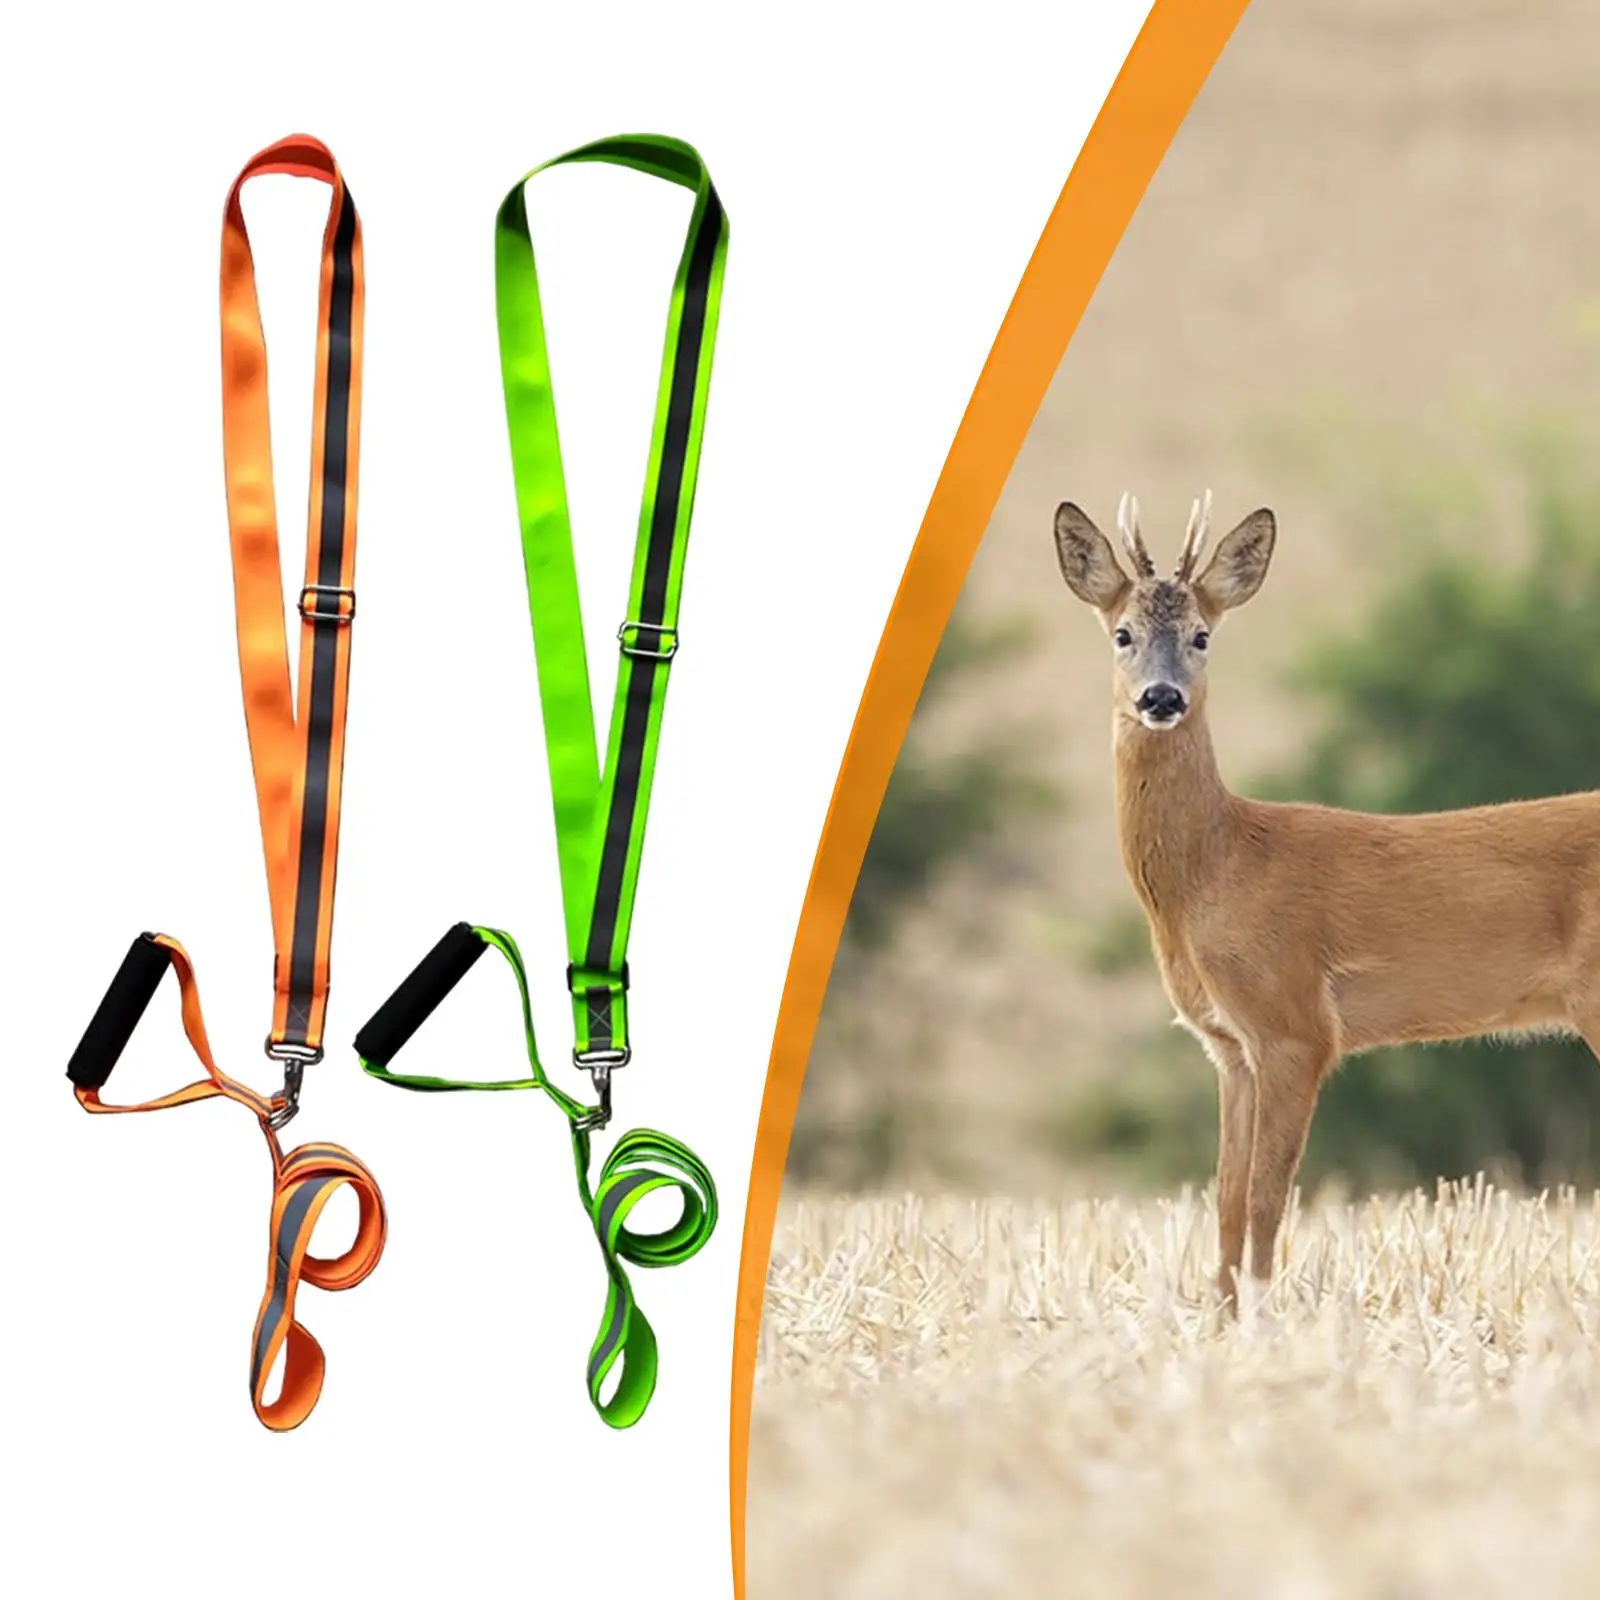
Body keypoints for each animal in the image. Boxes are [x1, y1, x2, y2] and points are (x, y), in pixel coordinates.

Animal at [1052, 490, 1600, 1312]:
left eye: (1202, 635)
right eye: (1122, 633)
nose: (1161, 697)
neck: (1216, 872)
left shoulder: (1295, 1022)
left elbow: (1266, 1201)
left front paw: (1264, 1319)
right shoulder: (1229, 1046)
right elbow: (1224, 1198)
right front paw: (1220, 1319)